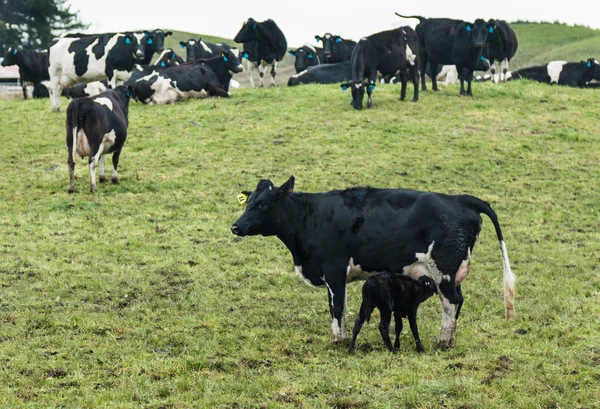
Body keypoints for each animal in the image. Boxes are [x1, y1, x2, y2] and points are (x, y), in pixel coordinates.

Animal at [230, 175, 516, 348]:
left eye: (263, 205)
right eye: (249, 202)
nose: (235, 226)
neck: (310, 216)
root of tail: (460, 199)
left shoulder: (334, 270)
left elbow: (337, 307)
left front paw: (337, 340)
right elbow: (339, 307)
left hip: (443, 270)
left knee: (450, 302)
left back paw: (443, 341)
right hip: (451, 273)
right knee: (458, 301)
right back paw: (450, 339)